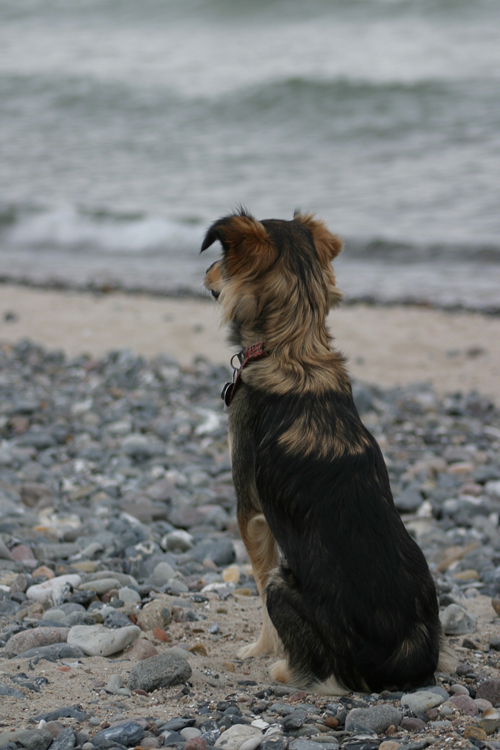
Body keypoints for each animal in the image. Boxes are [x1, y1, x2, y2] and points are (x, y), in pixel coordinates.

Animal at [202, 209, 446, 696]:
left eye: (221, 258)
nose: (204, 274)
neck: (295, 348)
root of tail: (398, 658)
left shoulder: (250, 511)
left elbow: (258, 586)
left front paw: (260, 649)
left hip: (287, 585)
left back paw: (282, 669)